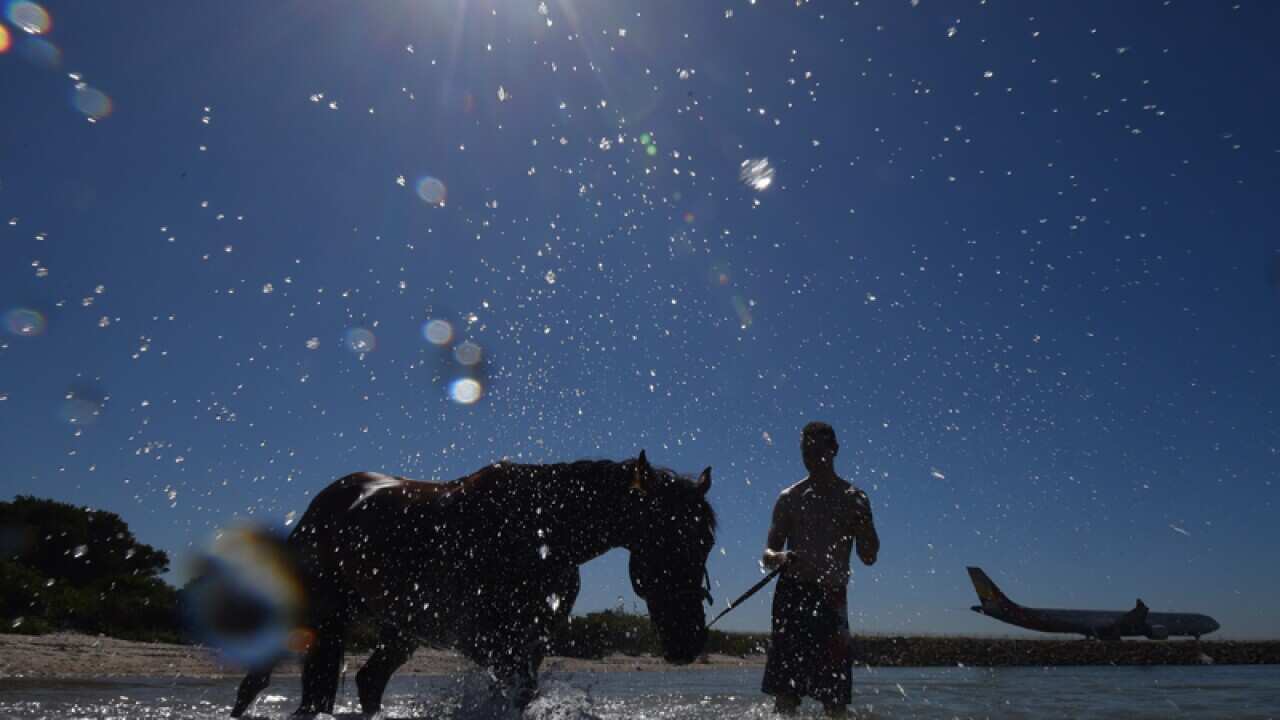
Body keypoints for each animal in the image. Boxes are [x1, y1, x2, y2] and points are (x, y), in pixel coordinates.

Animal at [229, 451, 716, 717]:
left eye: (707, 542)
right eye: (667, 540)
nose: (688, 641)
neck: (541, 532)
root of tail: (328, 501)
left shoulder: (530, 645)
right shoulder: (493, 645)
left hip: (398, 631)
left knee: (366, 681)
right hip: (319, 616)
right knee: (260, 683)